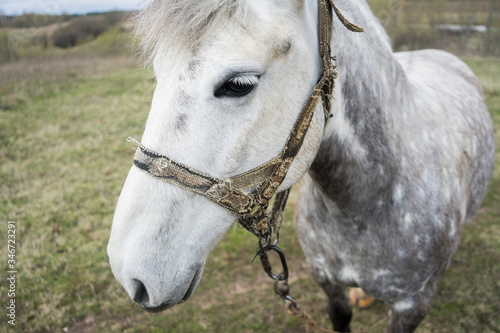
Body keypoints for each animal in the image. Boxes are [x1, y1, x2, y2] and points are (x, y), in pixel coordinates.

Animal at [106, 0, 496, 330]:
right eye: (159, 73)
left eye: (238, 84)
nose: (130, 274)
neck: (366, 203)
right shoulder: (329, 285)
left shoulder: (411, 305)